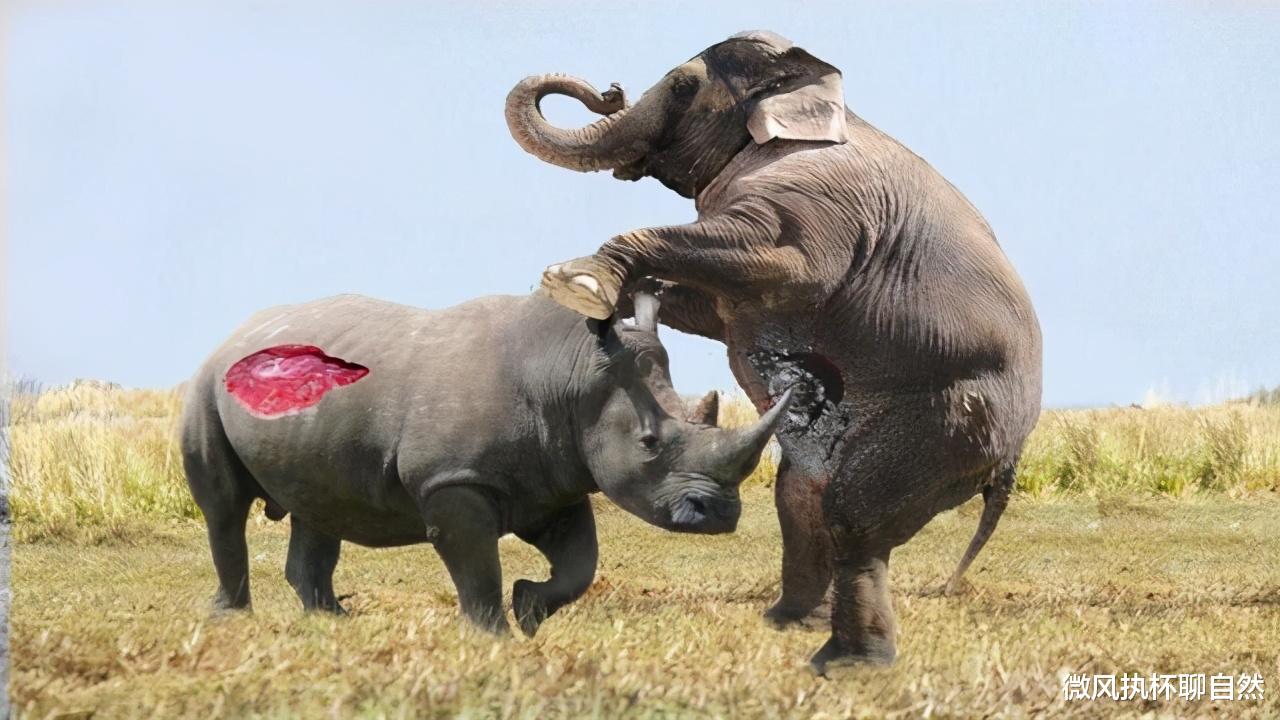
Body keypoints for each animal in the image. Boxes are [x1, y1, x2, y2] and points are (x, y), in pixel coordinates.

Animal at [181, 290, 789, 635]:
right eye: (649, 443)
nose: (721, 515)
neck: (568, 376)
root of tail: (235, 333)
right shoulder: (453, 481)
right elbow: (477, 566)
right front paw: (490, 637)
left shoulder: (555, 481)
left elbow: (580, 563)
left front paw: (530, 610)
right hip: (205, 387)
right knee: (224, 508)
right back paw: (232, 621)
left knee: (318, 506)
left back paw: (333, 623)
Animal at [505, 30, 1042, 671]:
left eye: (682, 86)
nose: (608, 89)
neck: (809, 90)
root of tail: (1010, 463)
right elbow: (711, 311)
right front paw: (618, 299)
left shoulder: (818, 199)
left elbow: (784, 264)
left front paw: (578, 282)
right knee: (801, 496)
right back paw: (788, 624)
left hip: (954, 419)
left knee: (854, 514)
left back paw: (850, 664)